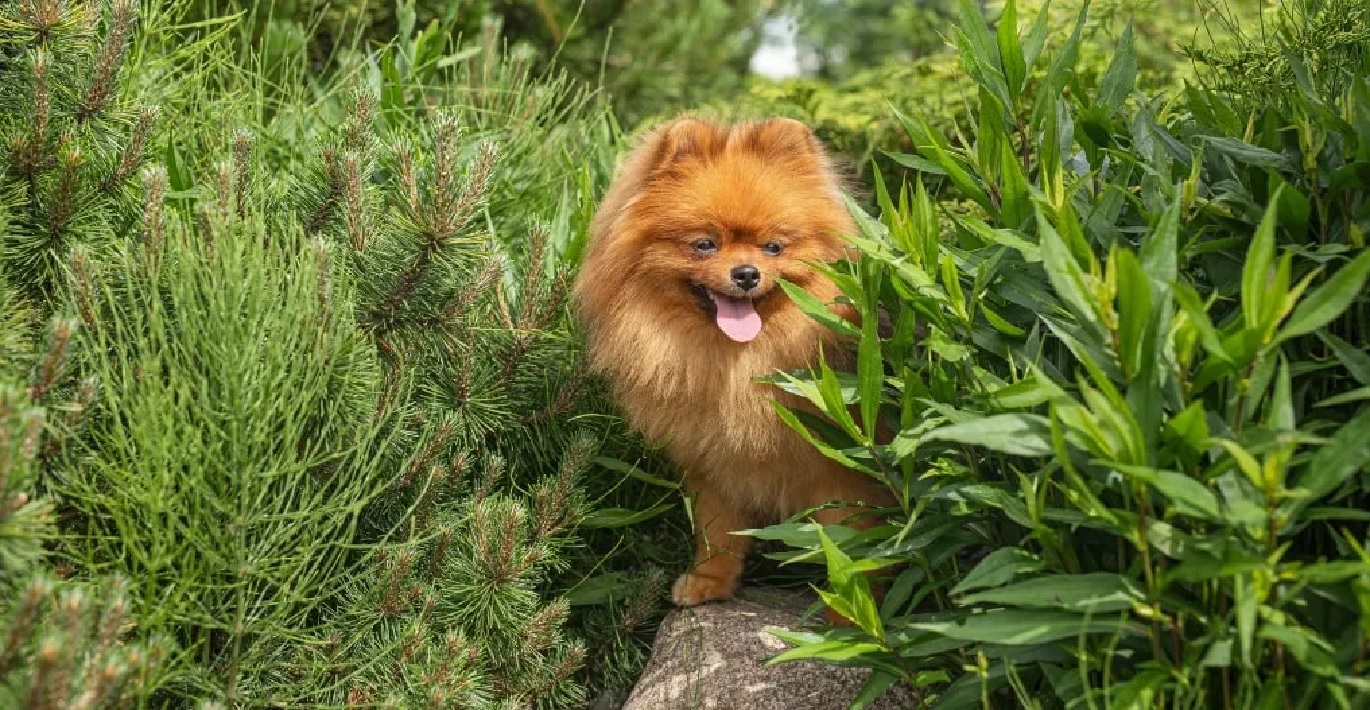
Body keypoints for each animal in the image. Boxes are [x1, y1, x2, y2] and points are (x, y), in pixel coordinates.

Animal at [572, 115, 893, 611]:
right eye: (705, 244)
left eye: (773, 247)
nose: (746, 274)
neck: (738, 364)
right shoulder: (715, 461)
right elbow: (717, 531)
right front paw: (709, 581)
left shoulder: (845, 471)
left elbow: (850, 545)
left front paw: (853, 612)